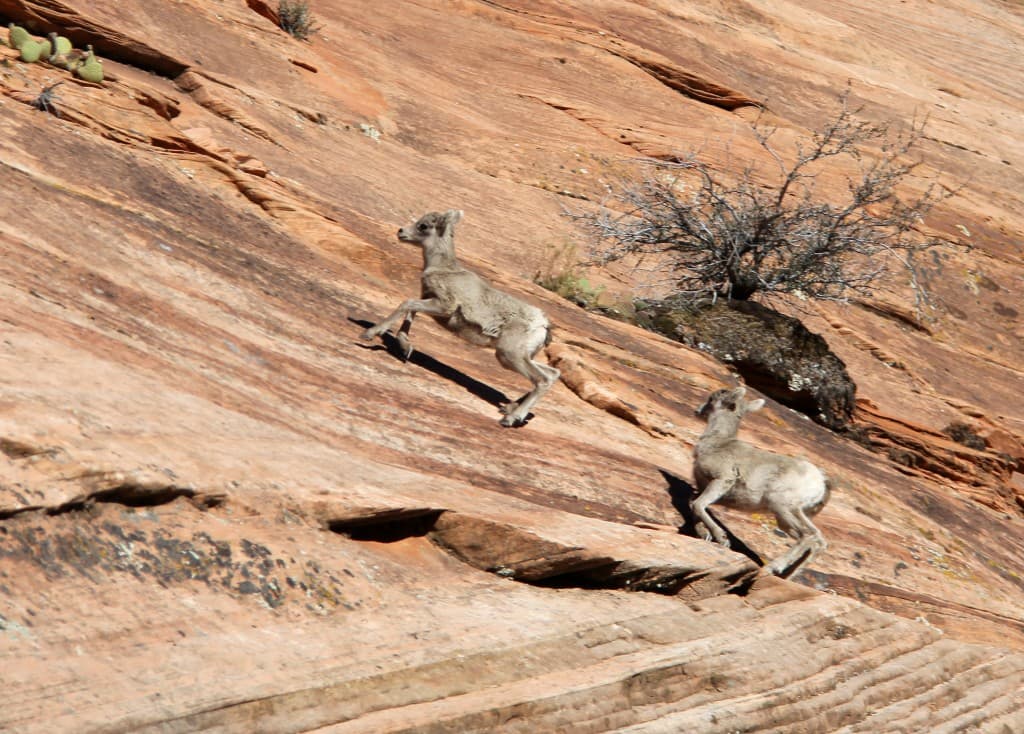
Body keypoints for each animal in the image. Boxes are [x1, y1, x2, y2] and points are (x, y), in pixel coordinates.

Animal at [361, 209, 560, 427]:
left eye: (423, 226)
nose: (401, 232)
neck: (443, 268)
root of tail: (543, 325)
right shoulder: (431, 301)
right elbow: (411, 311)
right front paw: (405, 348)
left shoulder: (444, 306)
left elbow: (408, 304)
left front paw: (370, 334)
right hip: (522, 356)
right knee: (552, 375)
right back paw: (509, 408)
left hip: (508, 354)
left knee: (542, 380)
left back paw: (510, 418)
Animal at [691, 387, 830, 578]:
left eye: (712, 399)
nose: (697, 411)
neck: (717, 442)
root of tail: (820, 481)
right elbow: (695, 506)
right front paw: (706, 535)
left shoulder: (722, 480)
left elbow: (698, 505)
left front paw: (722, 539)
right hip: (797, 514)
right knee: (818, 541)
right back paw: (787, 575)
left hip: (781, 506)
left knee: (807, 536)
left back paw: (772, 568)